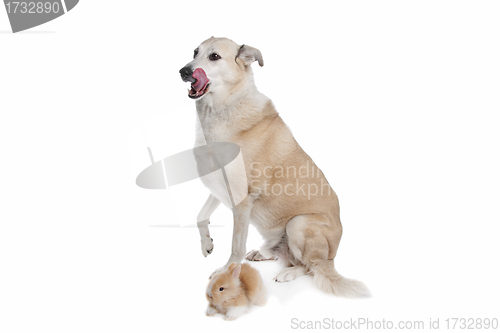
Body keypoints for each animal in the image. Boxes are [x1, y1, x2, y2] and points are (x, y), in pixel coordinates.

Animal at [178, 37, 370, 320]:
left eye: (214, 56)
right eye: (194, 52)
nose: (183, 71)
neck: (226, 106)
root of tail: (333, 258)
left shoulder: (242, 200)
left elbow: (235, 246)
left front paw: (226, 270)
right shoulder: (221, 187)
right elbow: (200, 216)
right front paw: (207, 245)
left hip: (298, 224)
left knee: (309, 266)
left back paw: (289, 273)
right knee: (288, 256)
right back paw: (263, 253)